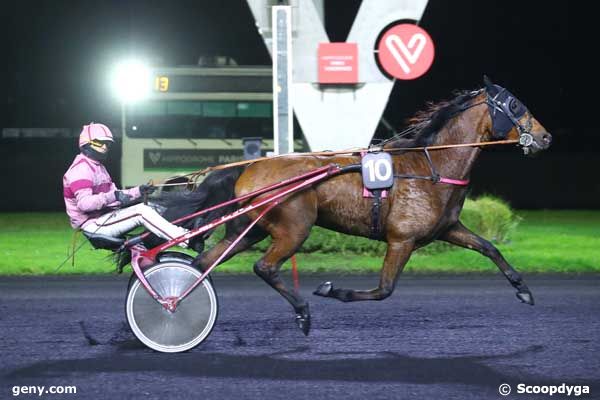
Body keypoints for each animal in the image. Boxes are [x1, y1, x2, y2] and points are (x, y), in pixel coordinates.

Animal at [151, 76, 552, 334]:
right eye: (516, 105)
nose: (545, 137)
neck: (429, 165)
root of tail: (247, 167)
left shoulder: (447, 228)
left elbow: (489, 247)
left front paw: (523, 289)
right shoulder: (401, 240)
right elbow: (384, 289)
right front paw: (332, 290)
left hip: (248, 230)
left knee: (203, 263)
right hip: (294, 227)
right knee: (264, 266)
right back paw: (302, 312)